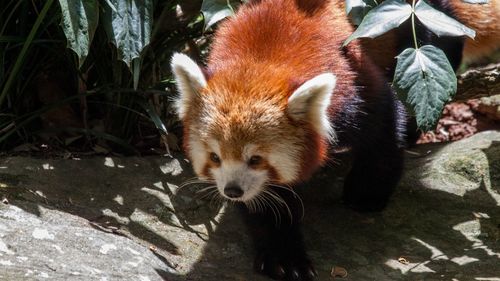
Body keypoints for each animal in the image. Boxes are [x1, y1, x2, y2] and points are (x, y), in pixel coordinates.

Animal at [172, 0, 406, 278]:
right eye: (215, 157)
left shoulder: (352, 88)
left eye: (255, 159)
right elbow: (267, 203)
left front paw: (367, 193)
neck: (260, 60)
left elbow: (384, 126)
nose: (232, 191)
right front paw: (283, 257)